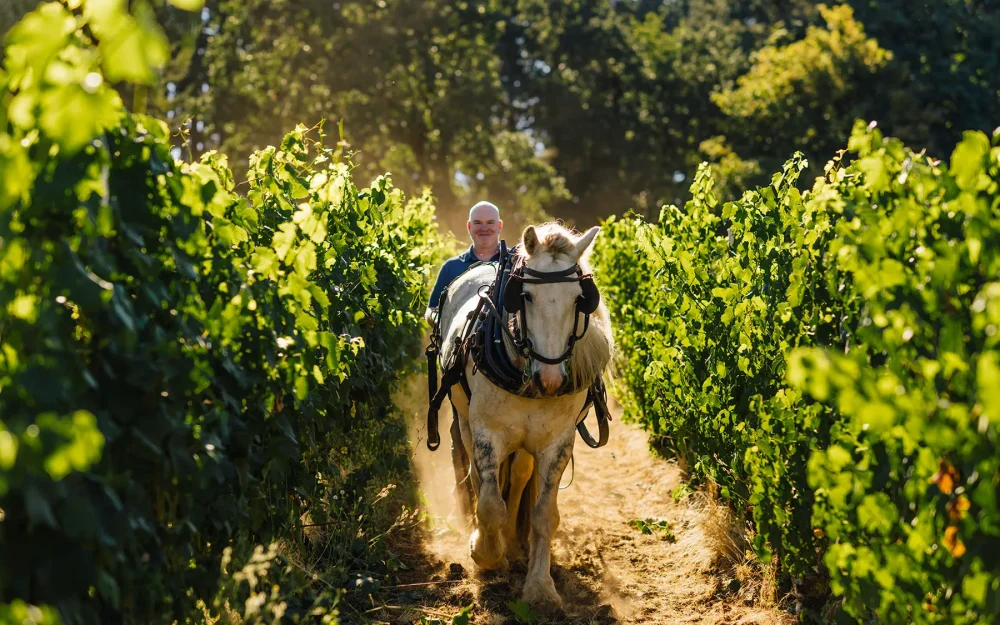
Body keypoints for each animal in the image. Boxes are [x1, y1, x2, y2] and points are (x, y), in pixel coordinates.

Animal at [435, 222, 613, 610]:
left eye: (580, 298)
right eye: (525, 296)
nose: (551, 379)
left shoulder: (558, 441)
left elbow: (544, 514)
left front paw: (540, 588)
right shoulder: (488, 433)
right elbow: (490, 504)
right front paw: (485, 554)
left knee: (518, 476)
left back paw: (514, 545)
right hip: (465, 420)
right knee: (475, 474)